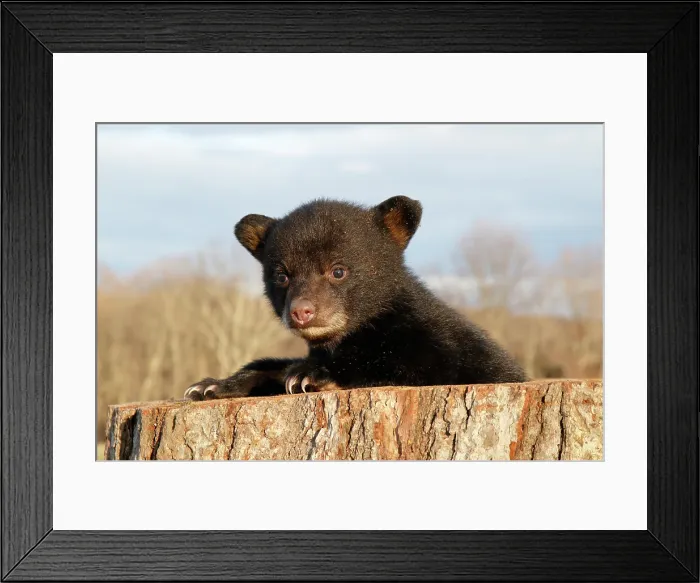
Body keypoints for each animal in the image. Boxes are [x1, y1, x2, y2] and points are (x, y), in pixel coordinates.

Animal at [184, 196, 527, 401]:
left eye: (338, 270)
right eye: (281, 275)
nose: (301, 312)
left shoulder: (444, 347)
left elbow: (416, 365)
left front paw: (314, 376)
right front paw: (212, 385)